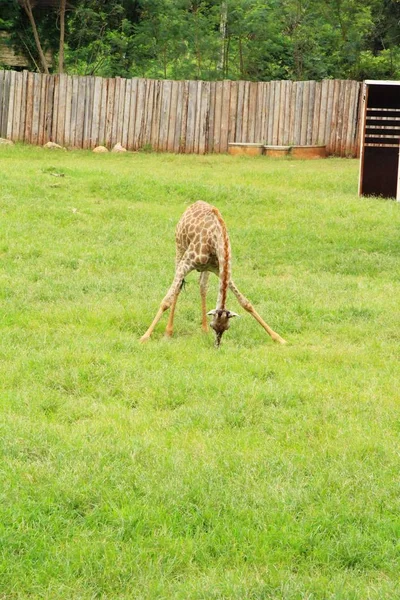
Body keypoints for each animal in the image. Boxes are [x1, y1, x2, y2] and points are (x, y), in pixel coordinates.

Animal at [139, 200, 286, 346]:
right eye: (213, 326)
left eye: (227, 327)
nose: (217, 345)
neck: (216, 242)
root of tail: (196, 203)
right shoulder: (186, 263)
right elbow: (166, 301)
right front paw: (145, 337)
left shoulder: (219, 269)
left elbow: (245, 302)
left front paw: (278, 337)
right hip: (179, 249)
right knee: (178, 289)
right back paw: (169, 332)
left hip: (205, 268)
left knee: (202, 287)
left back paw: (203, 331)